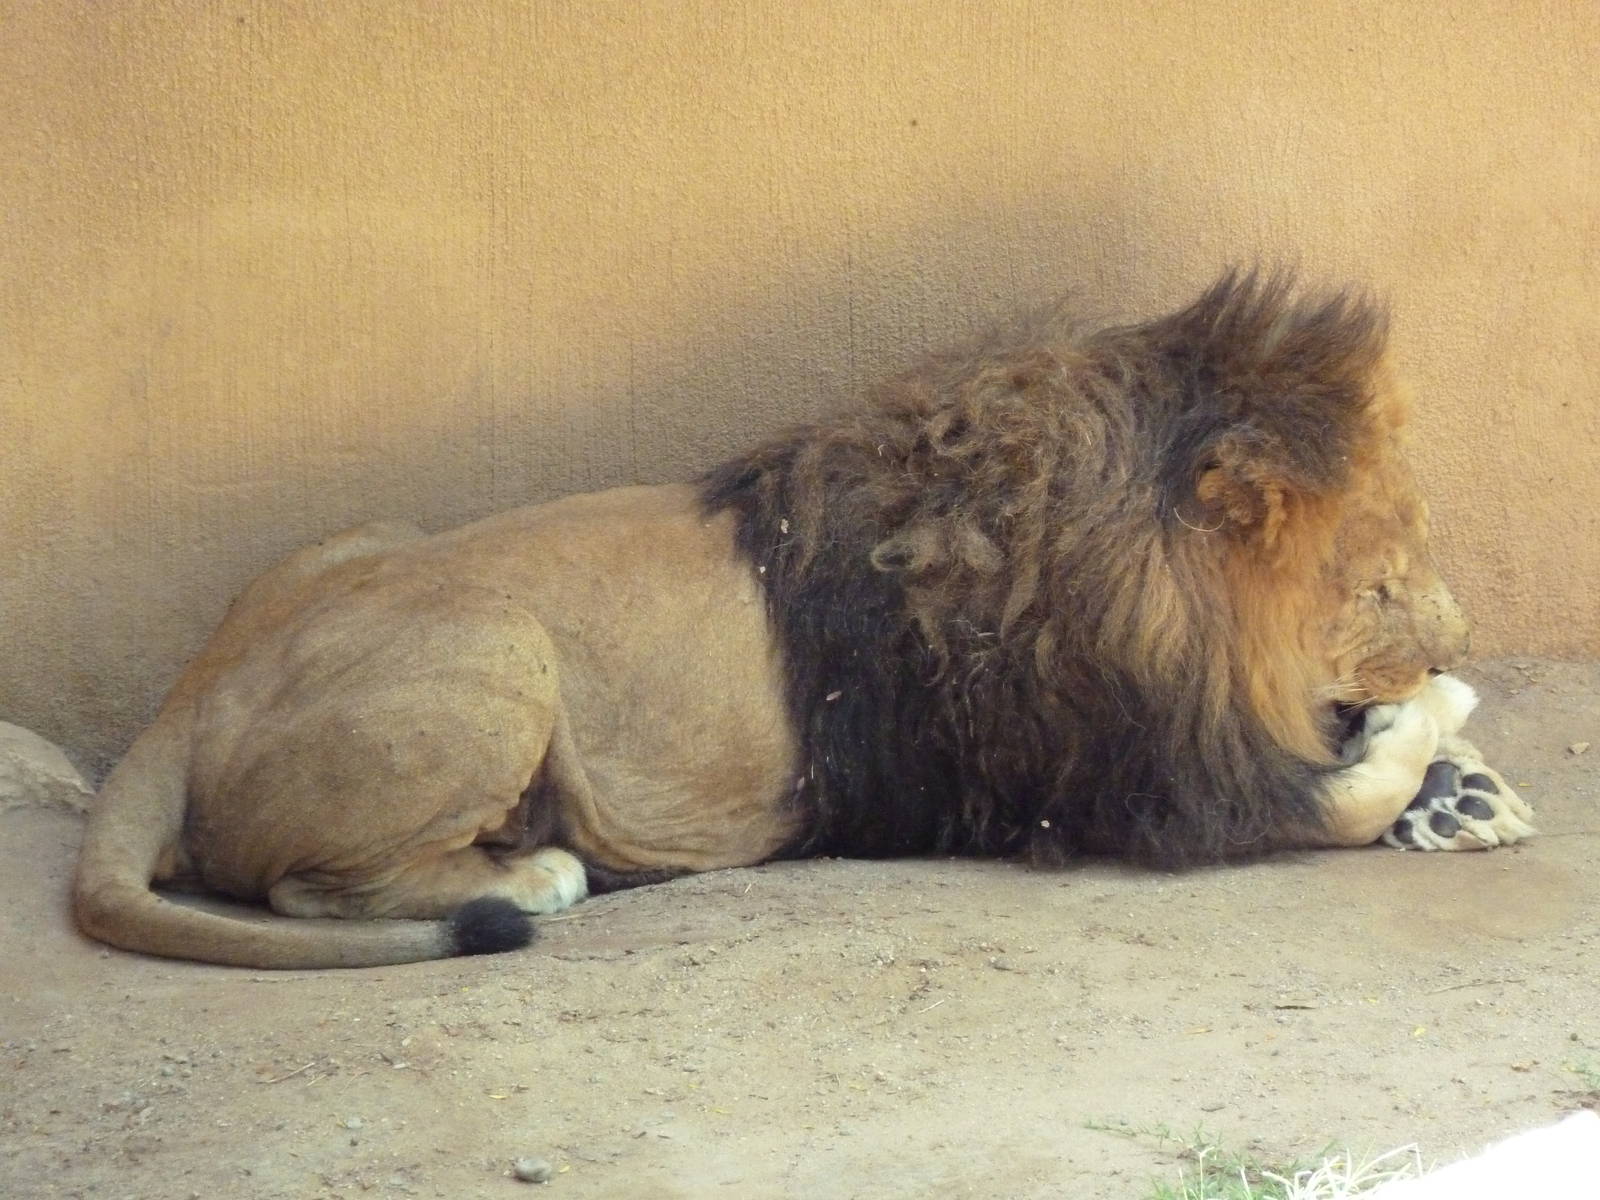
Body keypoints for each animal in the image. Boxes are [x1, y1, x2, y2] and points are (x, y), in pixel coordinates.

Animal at [72, 272, 1533, 969]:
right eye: (1383, 578)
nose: (1459, 634)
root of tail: (188, 692)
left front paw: (1465, 791)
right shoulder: (1120, 789)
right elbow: (1336, 791)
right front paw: (1435, 721)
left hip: (365, 540)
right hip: (501, 648)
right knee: (305, 883)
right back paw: (533, 876)